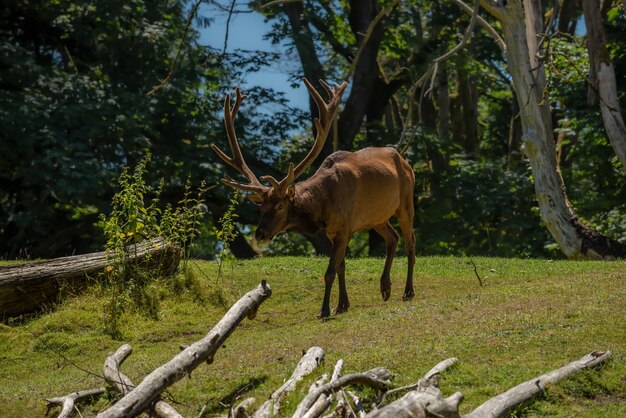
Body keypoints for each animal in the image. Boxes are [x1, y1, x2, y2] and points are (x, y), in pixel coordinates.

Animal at [211, 80, 414, 318]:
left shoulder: (344, 228)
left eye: (280, 206)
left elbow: (330, 271)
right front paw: (342, 305)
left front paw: (324, 310)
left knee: (410, 241)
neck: (323, 208)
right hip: (377, 218)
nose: (260, 233)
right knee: (392, 237)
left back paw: (408, 291)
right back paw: (385, 287)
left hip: (406, 201)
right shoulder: (333, 232)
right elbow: (341, 267)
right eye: (261, 207)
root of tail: (404, 160)